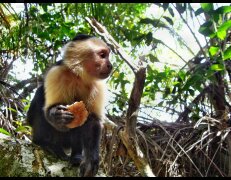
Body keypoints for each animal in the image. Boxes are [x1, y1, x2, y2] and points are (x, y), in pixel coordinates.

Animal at [27, 33, 112, 176]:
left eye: (107, 55)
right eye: (102, 55)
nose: (110, 65)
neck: (79, 75)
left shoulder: (98, 85)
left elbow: (92, 121)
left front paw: (90, 160)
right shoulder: (57, 72)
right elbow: (49, 109)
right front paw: (58, 116)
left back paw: (76, 156)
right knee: (39, 98)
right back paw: (44, 143)